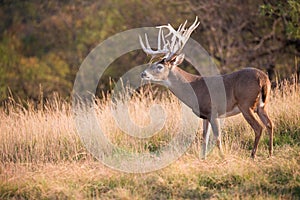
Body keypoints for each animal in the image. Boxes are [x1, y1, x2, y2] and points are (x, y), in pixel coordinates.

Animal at [139, 17, 274, 160]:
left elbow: (217, 138)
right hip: (262, 105)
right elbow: (204, 138)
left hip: (246, 104)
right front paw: (203, 158)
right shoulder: (205, 116)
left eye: (159, 67)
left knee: (259, 127)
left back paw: (253, 155)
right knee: (270, 124)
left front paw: (223, 157)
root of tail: (263, 78)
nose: (143, 73)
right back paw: (270, 153)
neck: (195, 88)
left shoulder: (213, 111)